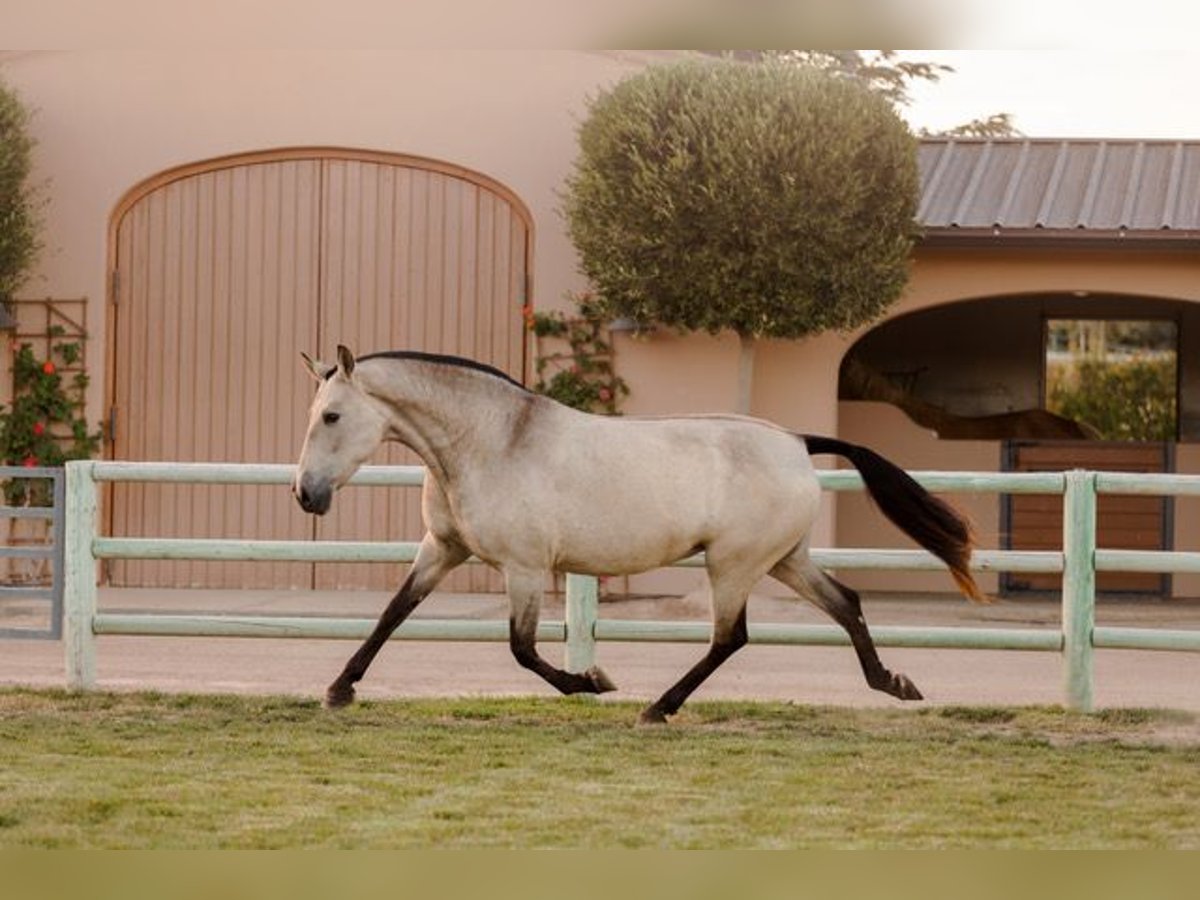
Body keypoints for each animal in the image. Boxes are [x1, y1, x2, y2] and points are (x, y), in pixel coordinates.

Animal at [292, 345, 984, 724]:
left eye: (333, 416)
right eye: (315, 413)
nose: (306, 494)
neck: (493, 440)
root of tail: (794, 440)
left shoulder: (523, 566)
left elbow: (522, 649)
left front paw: (593, 682)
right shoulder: (443, 550)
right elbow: (392, 614)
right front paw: (338, 689)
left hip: (734, 565)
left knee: (731, 637)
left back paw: (658, 707)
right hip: (785, 559)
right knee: (846, 604)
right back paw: (893, 683)